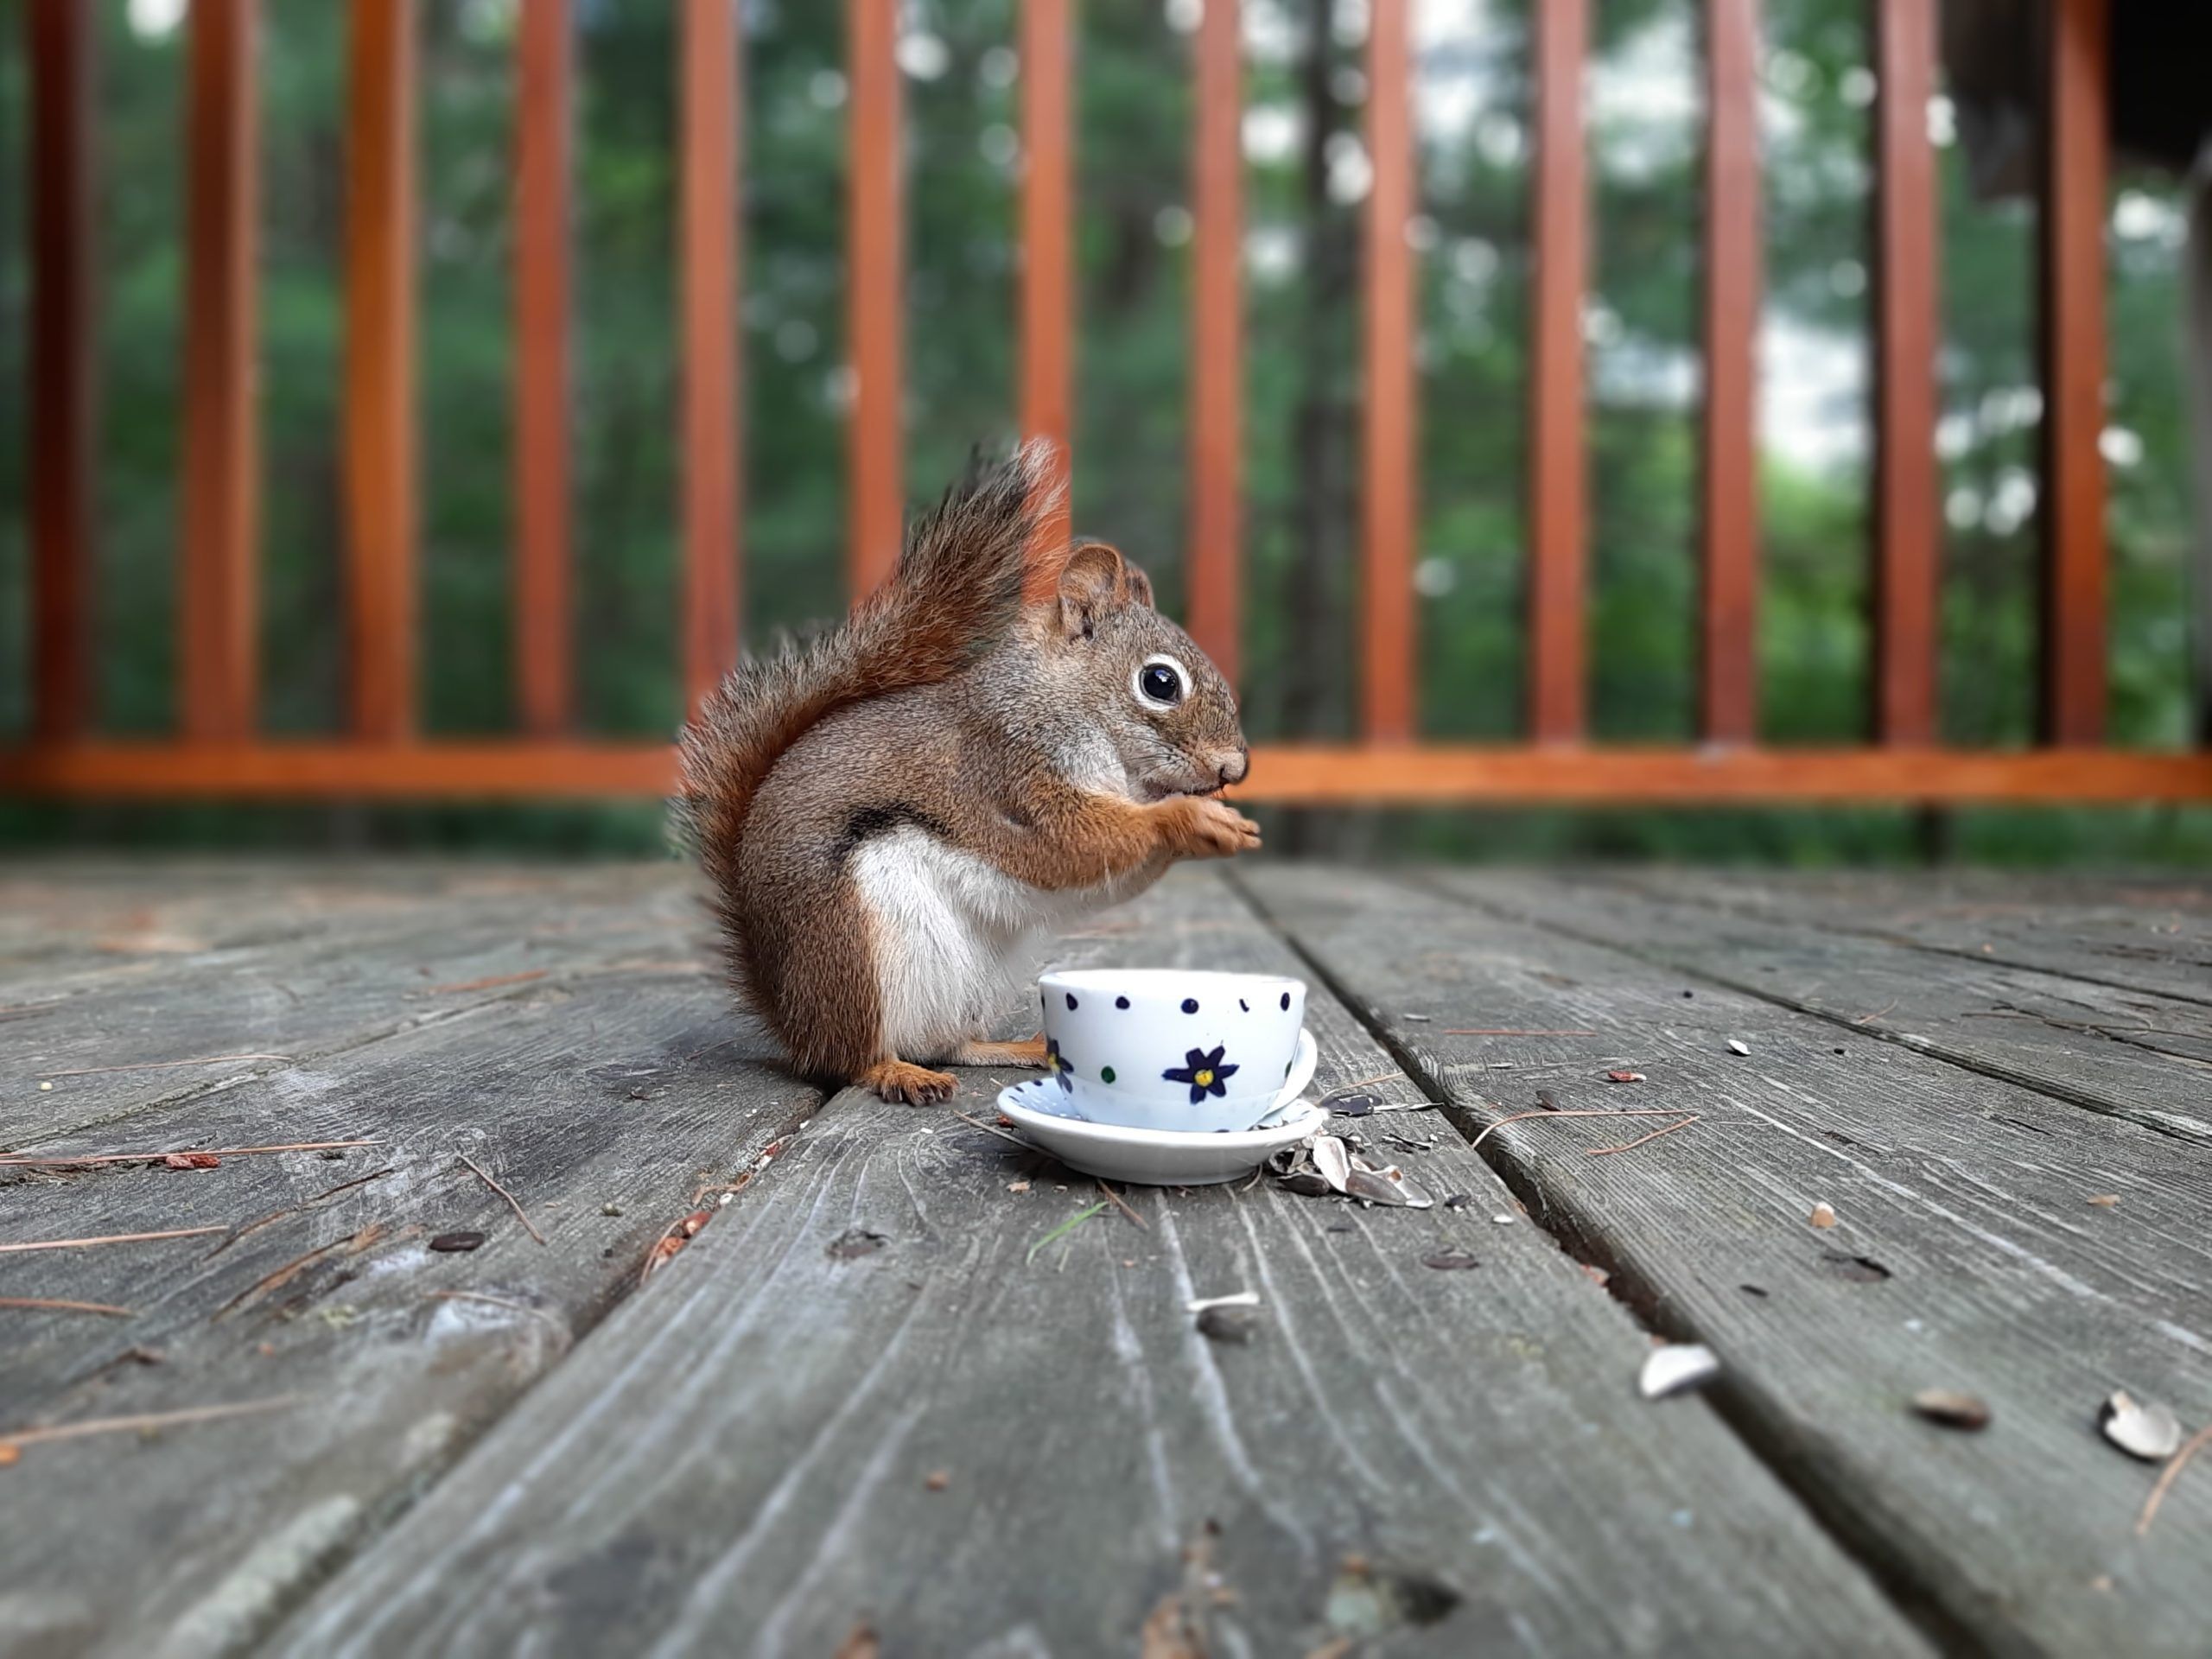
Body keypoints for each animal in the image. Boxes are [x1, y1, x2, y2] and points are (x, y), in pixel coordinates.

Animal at [677, 440, 1259, 1105]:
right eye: (1159, 681)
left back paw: (1016, 1047)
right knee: (851, 1057)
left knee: (947, 1044)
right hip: (848, 949)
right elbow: (1076, 843)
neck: (1064, 704)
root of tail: (788, 1015)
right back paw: (892, 1071)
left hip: (975, 980)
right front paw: (1190, 819)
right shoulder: (1011, 775)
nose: (1235, 766)